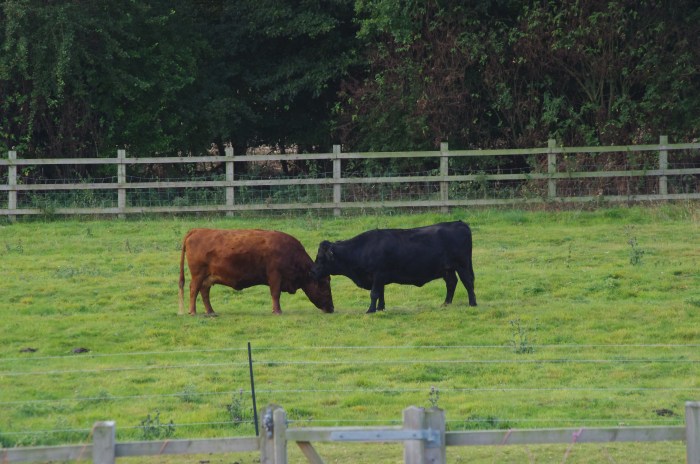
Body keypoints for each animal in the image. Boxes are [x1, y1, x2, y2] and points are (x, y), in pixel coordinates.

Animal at [179, 228, 334, 315]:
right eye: (325, 286)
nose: (331, 308)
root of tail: (197, 230)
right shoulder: (275, 275)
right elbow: (275, 294)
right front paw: (277, 311)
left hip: (208, 277)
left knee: (204, 291)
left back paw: (210, 311)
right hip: (198, 275)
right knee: (194, 289)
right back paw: (192, 311)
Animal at [311, 221, 476, 313]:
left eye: (321, 258)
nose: (312, 271)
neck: (362, 249)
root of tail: (459, 223)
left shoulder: (378, 275)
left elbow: (374, 294)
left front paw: (370, 310)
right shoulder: (380, 278)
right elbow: (381, 294)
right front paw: (380, 308)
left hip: (462, 265)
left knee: (468, 282)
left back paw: (472, 304)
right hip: (447, 269)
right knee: (451, 283)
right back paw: (446, 304)